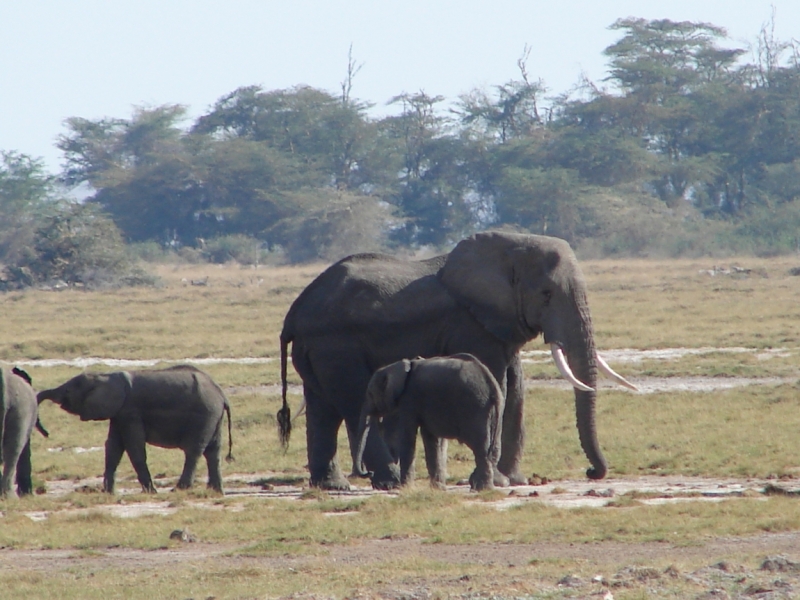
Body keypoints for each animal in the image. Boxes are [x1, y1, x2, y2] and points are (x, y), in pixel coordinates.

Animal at [37, 364, 233, 494]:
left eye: (68, 392)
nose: (46, 433)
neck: (105, 377)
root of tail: (222, 395)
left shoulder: (130, 411)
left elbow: (133, 446)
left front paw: (151, 492)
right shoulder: (119, 413)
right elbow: (113, 447)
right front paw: (108, 493)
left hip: (205, 415)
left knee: (194, 451)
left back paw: (179, 490)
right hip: (214, 416)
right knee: (213, 451)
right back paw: (215, 491)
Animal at [354, 354, 504, 490]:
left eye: (370, 394)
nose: (369, 472)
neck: (397, 366)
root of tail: (491, 384)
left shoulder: (409, 399)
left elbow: (408, 436)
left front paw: (405, 489)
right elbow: (431, 439)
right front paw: (437, 488)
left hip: (475, 406)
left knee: (480, 448)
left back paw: (482, 488)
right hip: (493, 409)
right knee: (493, 448)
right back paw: (481, 486)